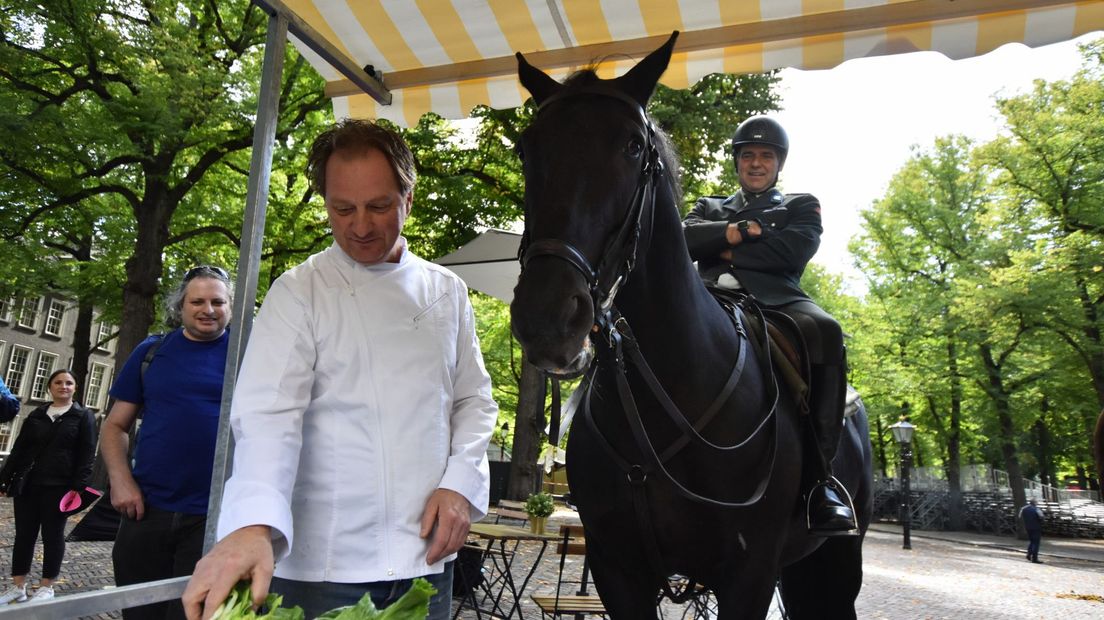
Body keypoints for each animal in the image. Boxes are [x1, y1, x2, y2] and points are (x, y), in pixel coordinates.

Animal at [507, 35, 869, 617]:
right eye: (526, 148)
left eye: (634, 147)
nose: (548, 318)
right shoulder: (617, 570)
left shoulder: (749, 576)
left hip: (835, 558)